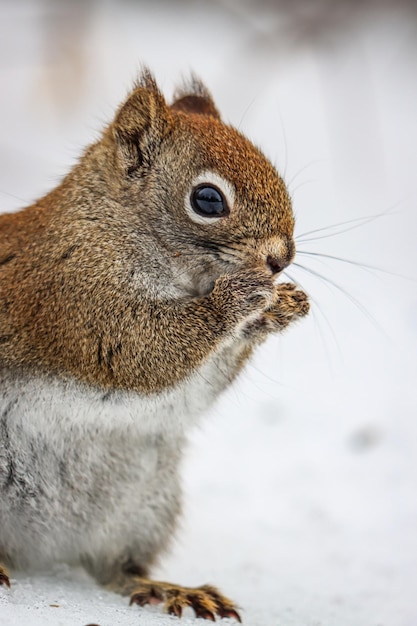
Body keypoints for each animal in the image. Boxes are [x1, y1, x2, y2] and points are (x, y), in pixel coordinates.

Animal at [0, 70, 308, 616]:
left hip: (144, 507)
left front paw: (279, 309)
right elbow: (143, 353)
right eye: (208, 200)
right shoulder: (75, 301)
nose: (281, 258)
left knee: (114, 568)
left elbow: (196, 383)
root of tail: (38, 547)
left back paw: (166, 588)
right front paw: (240, 300)